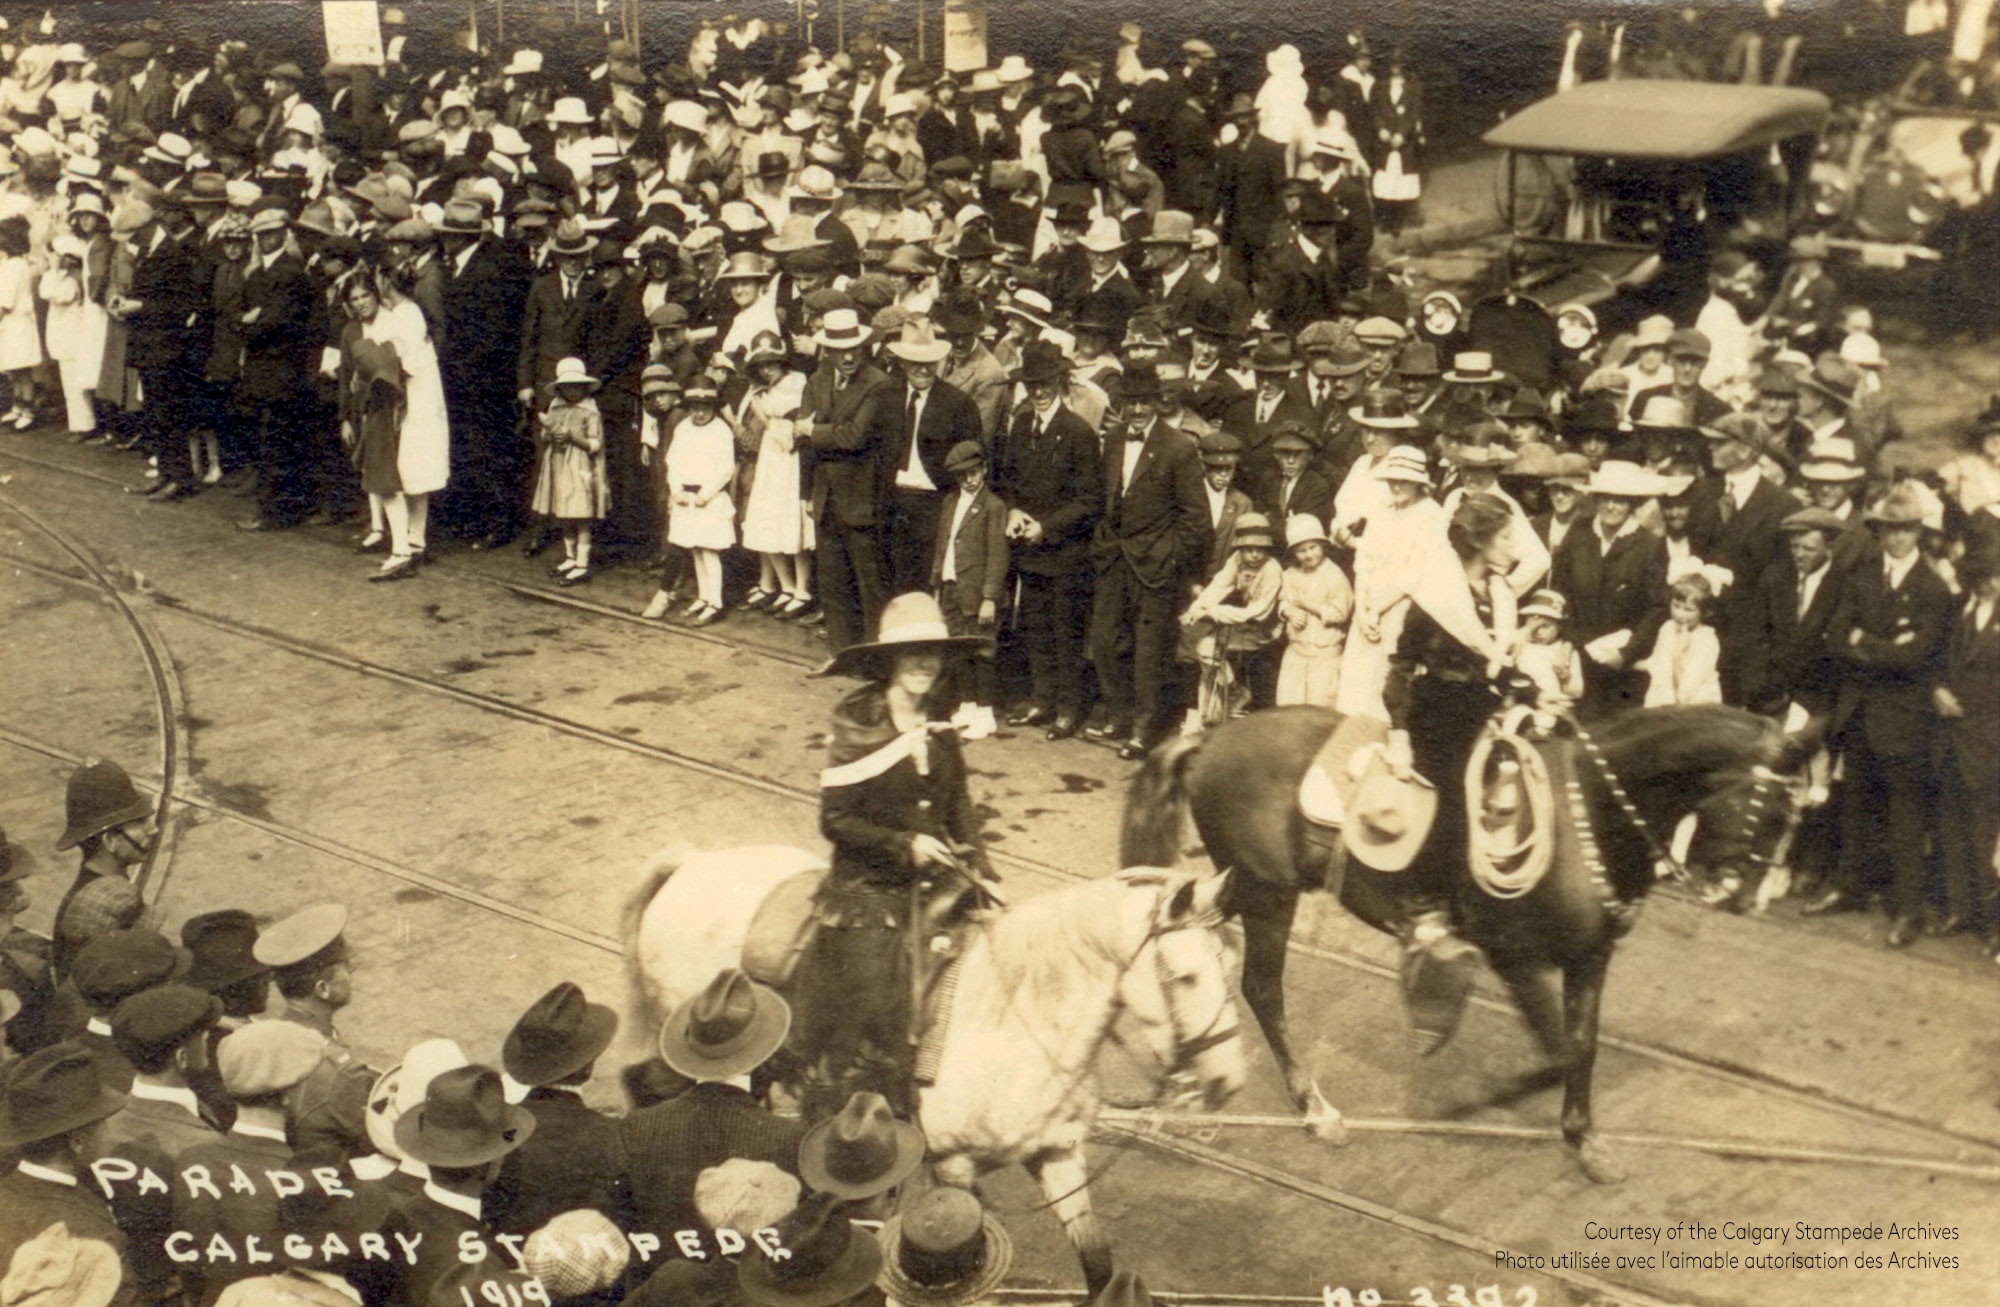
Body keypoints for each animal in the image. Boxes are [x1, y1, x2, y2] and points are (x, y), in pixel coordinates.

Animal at [1128, 707, 1816, 1191]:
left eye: (1794, 816)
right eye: (1766, 804)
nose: (1740, 896)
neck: (1588, 816)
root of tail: (1215, 735)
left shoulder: (1590, 957)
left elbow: (1580, 1046)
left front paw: (1584, 1141)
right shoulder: (1512, 956)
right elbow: (1557, 1048)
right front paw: (1490, 1101)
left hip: (1245, 887)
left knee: (1192, 934)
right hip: (1268, 892)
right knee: (1262, 987)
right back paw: (1314, 1108)